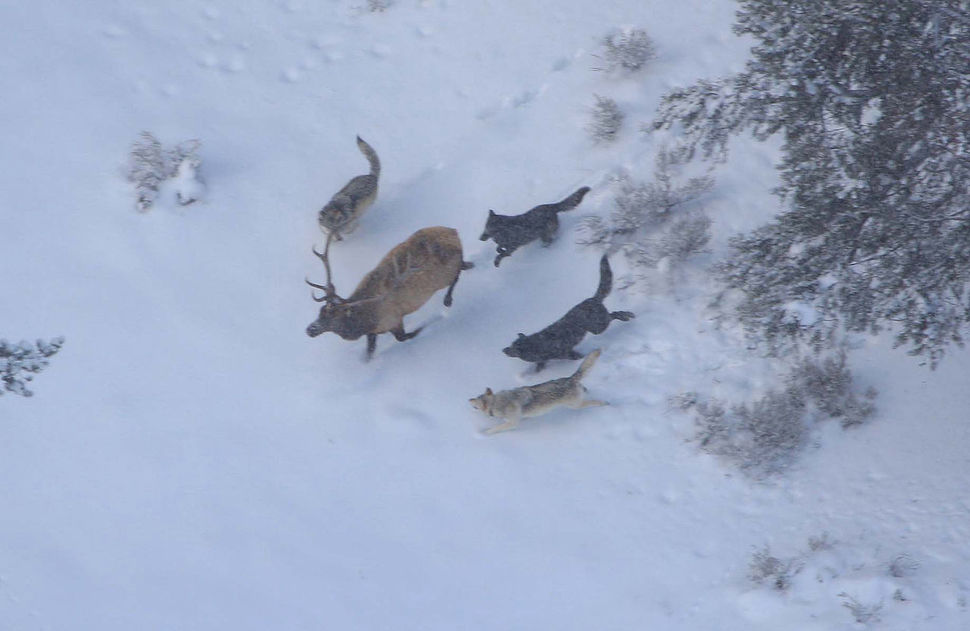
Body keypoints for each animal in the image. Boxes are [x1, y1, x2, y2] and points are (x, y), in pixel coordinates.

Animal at [306, 227, 472, 358]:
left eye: (333, 317)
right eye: (321, 311)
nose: (310, 329)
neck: (365, 320)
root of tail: (454, 231)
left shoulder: (394, 320)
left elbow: (405, 337)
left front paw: (431, 321)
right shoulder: (373, 332)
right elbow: (370, 352)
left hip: (445, 274)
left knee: (456, 275)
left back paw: (448, 300)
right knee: (463, 266)